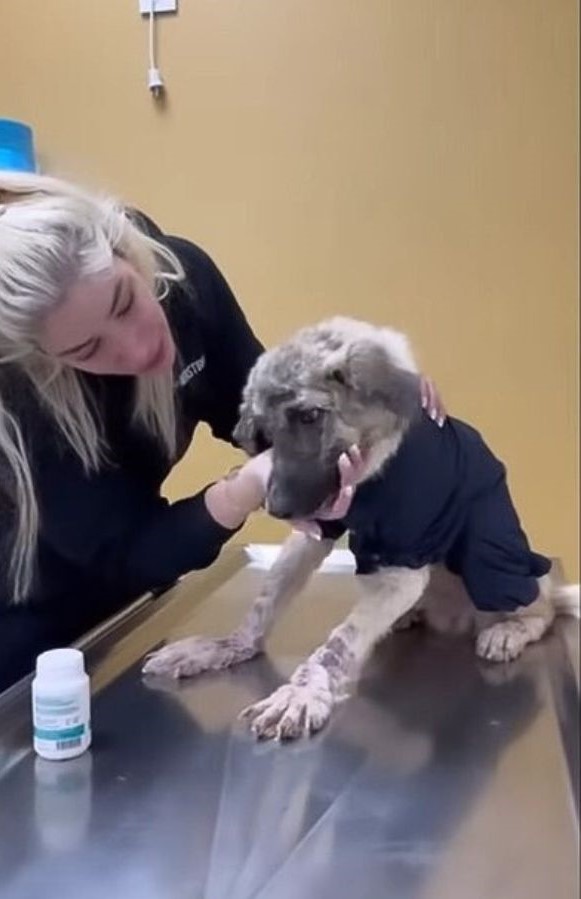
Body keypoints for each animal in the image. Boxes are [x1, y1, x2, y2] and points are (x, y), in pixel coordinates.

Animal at [143, 316, 576, 740]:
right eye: (265, 433)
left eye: (309, 416)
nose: (276, 507)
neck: (371, 471)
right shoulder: (315, 532)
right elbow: (265, 602)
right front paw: (227, 646)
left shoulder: (402, 565)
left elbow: (338, 642)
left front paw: (302, 692)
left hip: (491, 561)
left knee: (543, 608)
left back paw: (510, 629)